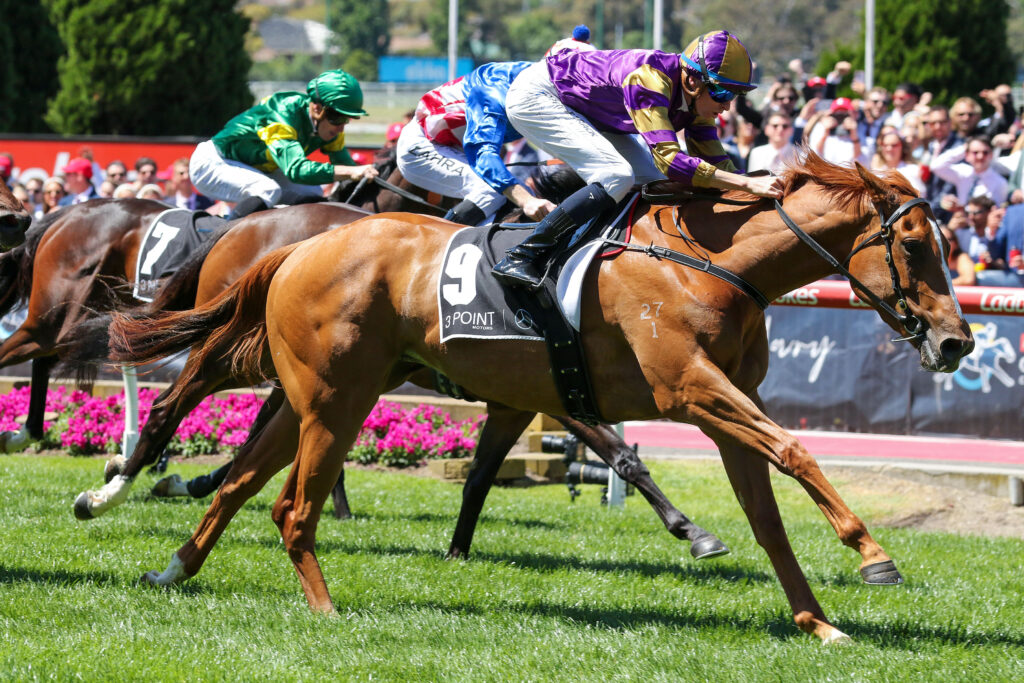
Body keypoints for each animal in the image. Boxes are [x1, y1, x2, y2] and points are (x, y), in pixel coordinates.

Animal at [106, 154, 973, 642]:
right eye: (914, 245)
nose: (958, 340)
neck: (708, 263)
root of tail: (294, 247)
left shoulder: (714, 407)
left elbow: (767, 518)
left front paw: (817, 621)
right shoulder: (690, 390)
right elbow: (792, 448)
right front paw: (873, 555)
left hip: (312, 395)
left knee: (241, 480)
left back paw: (172, 566)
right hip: (334, 398)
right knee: (284, 500)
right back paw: (316, 607)